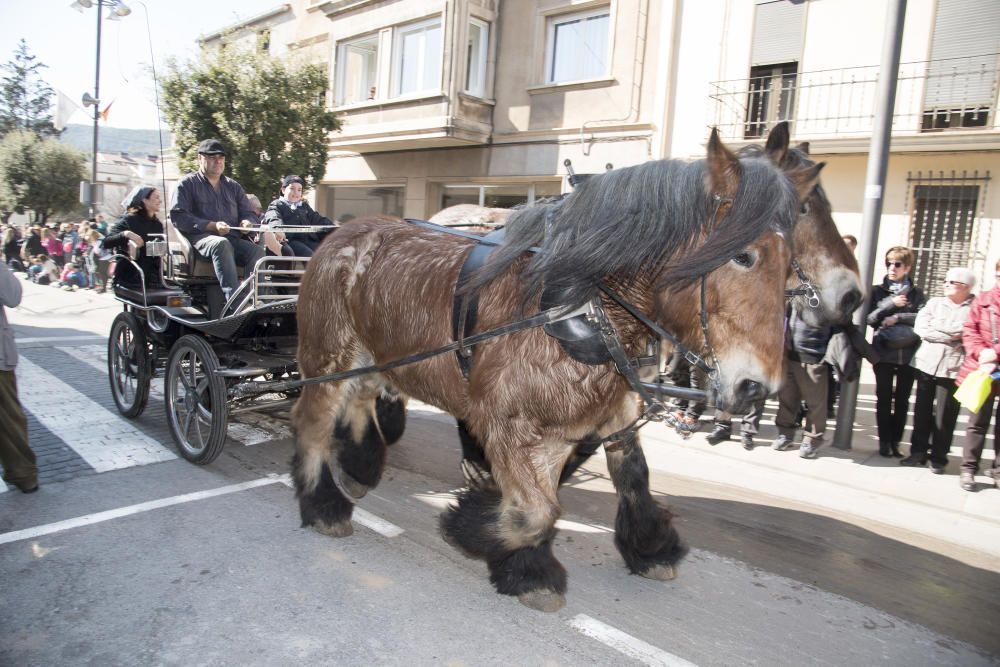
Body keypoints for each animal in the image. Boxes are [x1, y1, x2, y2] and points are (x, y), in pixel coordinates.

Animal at [290, 129, 820, 612]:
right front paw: (478, 530)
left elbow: (626, 477)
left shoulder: (596, 414)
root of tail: (342, 232)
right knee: (313, 422)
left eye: (790, 260)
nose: (755, 389)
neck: (576, 302)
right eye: (744, 255)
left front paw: (640, 548)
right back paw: (323, 504)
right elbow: (536, 510)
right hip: (328, 357)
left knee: (361, 399)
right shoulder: (506, 422)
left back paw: (359, 466)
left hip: (373, 356)